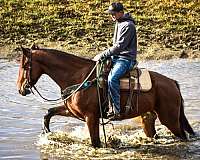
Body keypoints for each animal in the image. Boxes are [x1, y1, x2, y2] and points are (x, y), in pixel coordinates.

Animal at [16, 45, 195, 148]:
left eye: (24, 66)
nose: (20, 89)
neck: (78, 77)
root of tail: (172, 83)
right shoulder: (74, 112)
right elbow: (49, 112)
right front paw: (46, 132)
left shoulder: (91, 117)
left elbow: (95, 143)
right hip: (149, 119)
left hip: (170, 119)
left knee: (182, 136)